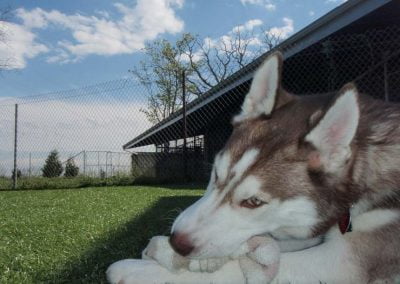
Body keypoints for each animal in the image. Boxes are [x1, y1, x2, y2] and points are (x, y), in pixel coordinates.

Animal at [106, 52, 400, 282]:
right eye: (215, 174)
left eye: (254, 202)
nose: (176, 241)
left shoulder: (342, 260)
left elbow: (236, 269)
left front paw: (140, 271)